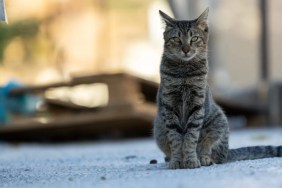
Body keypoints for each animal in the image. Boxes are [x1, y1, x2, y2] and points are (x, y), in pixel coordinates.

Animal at [154, 8, 282, 169]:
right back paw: (170, 159)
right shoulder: (169, 106)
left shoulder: (197, 106)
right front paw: (177, 161)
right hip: (158, 129)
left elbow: (190, 137)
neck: (184, 72)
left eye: (194, 38)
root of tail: (228, 152)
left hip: (218, 121)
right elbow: (175, 139)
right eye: (177, 39)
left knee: (213, 153)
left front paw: (191, 160)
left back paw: (204, 158)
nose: (186, 49)